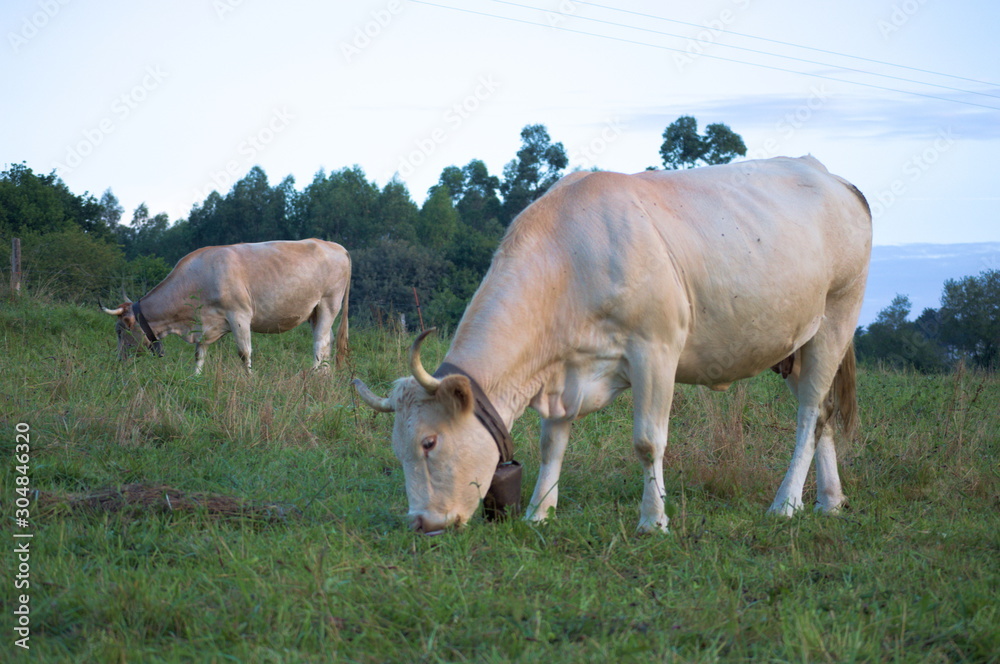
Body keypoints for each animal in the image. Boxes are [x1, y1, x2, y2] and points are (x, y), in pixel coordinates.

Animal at [102, 239, 352, 374]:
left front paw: (250, 379)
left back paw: (313, 374)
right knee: (328, 341)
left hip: (329, 303)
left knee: (320, 343)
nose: (119, 360)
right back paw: (325, 377)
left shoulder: (239, 314)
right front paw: (195, 378)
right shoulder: (205, 324)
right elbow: (199, 353)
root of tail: (335, 245)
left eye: (119, 331)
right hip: (314, 312)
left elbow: (244, 352)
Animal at [356, 156, 872, 536]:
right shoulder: (565, 370)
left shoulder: (656, 349)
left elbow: (648, 441)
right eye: (398, 449)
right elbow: (552, 442)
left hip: (837, 316)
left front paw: (653, 521)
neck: (570, 258)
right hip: (796, 345)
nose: (422, 523)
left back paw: (785, 503)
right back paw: (829, 500)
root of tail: (833, 177)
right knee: (823, 412)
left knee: (809, 415)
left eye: (429, 442)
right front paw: (540, 512)